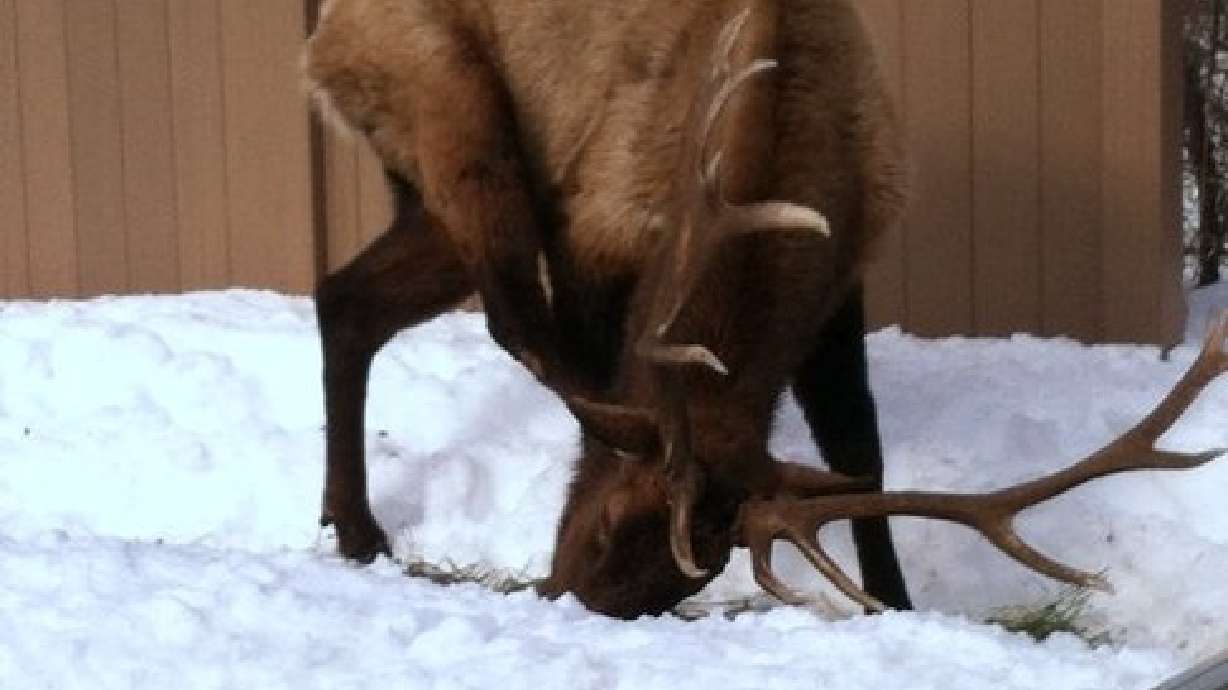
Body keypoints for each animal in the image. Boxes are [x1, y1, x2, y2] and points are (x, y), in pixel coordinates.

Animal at [302, 0, 1228, 619]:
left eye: (690, 579)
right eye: (603, 531)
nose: (562, 599)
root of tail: (323, 35)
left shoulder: (842, 285)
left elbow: (860, 454)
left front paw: (895, 602)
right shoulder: (597, 233)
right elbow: (588, 391)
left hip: (434, 199)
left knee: (346, 298)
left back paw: (355, 528)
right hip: (456, 120)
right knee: (497, 313)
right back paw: (359, 526)